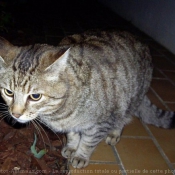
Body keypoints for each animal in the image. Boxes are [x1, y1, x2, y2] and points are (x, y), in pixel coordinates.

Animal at [0, 30, 174, 169]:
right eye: (9, 92)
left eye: (35, 96)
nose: (15, 113)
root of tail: (139, 40)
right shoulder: (70, 124)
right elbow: (72, 135)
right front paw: (71, 147)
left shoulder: (101, 122)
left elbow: (88, 142)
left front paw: (80, 156)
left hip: (130, 100)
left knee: (123, 119)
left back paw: (114, 133)